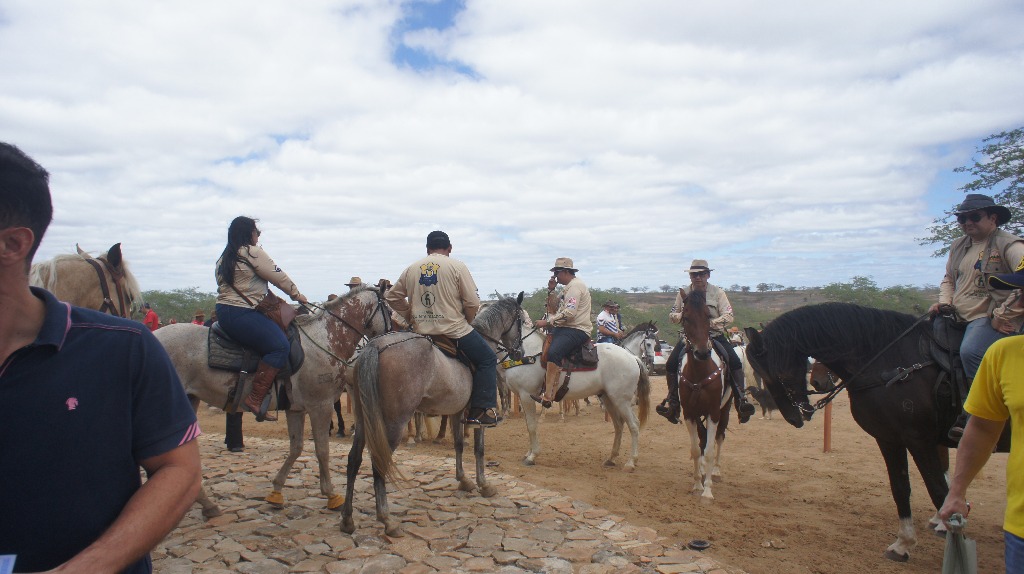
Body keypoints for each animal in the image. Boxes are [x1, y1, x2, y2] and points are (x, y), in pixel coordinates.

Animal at [155, 286, 391, 515]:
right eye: (388, 309)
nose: (392, 334)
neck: (325, 338)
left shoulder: (296, 409)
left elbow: (296, 448)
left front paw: (276, 492)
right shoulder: (320, 406)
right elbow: (322, 451)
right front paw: (332, 495)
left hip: (190, 400)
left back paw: (207, 504)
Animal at [339, 294, 524, 536]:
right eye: (522, 320)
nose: (520, 353)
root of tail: (375, 346)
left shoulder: (457, 412)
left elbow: (458, 445)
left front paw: (463, 480)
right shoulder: (479, 418)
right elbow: (479, 449)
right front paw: (484, 484)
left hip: (364, 420)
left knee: (353, 459)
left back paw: (347, 519)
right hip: (393, 423)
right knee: (379, 461)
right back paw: (387, 520)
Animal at [499, 325, 651, 472]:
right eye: (648, 343)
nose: (650, 358)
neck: (528, 352)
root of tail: (633, 358)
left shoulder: (526, 395)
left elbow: (531, 426)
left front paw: (532, 456)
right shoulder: (524, 396)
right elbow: (529, 425)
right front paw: (528, 453)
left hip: (622, 401)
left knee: (634, 425)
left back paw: (631, 462)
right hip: (609, 399)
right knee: (619, 425)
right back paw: (611, 458)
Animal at [741, 302, 954, 560]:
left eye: (777, 374)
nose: (794, 418)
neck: (893, 363)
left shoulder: (919, 439)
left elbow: (938, 490)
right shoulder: (890, 438)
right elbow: (901, 487)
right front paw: (903, 543)